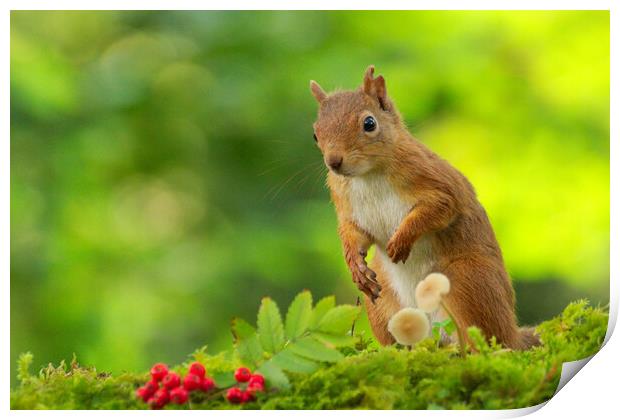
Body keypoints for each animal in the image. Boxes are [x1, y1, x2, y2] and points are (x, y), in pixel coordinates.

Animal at [308, 65, 536, 348]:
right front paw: (356, 267)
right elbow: (354, 234)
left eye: (369, 123)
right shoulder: (347, 206)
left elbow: (439, 208)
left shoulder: (436, 181)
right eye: (315, 133)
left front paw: (401, 240)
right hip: (384, 304)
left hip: (467, 280)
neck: (368, 175)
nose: (334, 162)